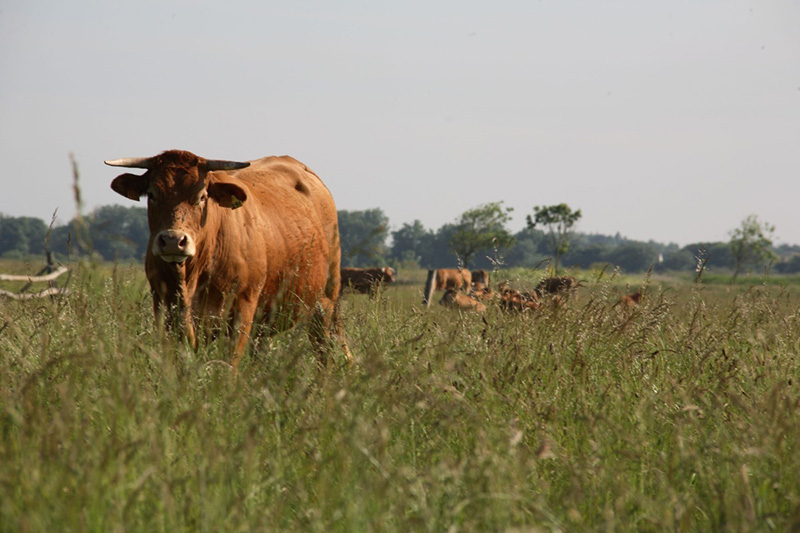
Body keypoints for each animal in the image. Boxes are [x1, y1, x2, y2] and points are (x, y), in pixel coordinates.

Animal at [104, 150, 348, 366]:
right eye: (153, 194)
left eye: (202, 196)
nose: (173, 240)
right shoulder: (164, 309)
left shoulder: (242, 310)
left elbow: (229, 366)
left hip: (325, 303)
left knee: (325, 351)